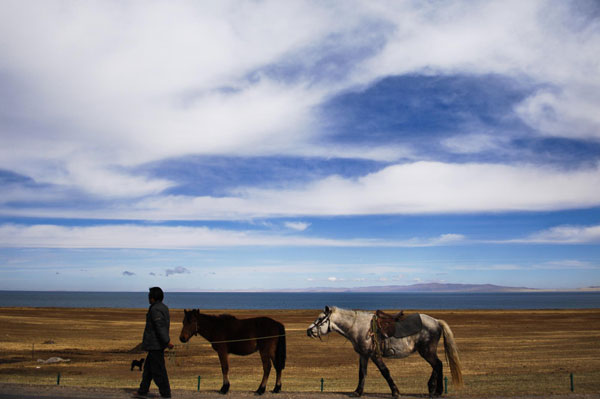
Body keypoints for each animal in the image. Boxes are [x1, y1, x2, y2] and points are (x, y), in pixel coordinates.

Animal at [308, 306, 462, 396]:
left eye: (320, 319)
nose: (308, 331)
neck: (359, 327)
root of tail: (436, 321)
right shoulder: (364, 355)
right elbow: (362, 373)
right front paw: (357, 392)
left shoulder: (374, 355)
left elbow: (385, 372)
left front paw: (395, 392)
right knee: (437, 365)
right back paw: (433, 389)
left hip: (427, 351)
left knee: (438, 364)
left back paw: (436, 390)